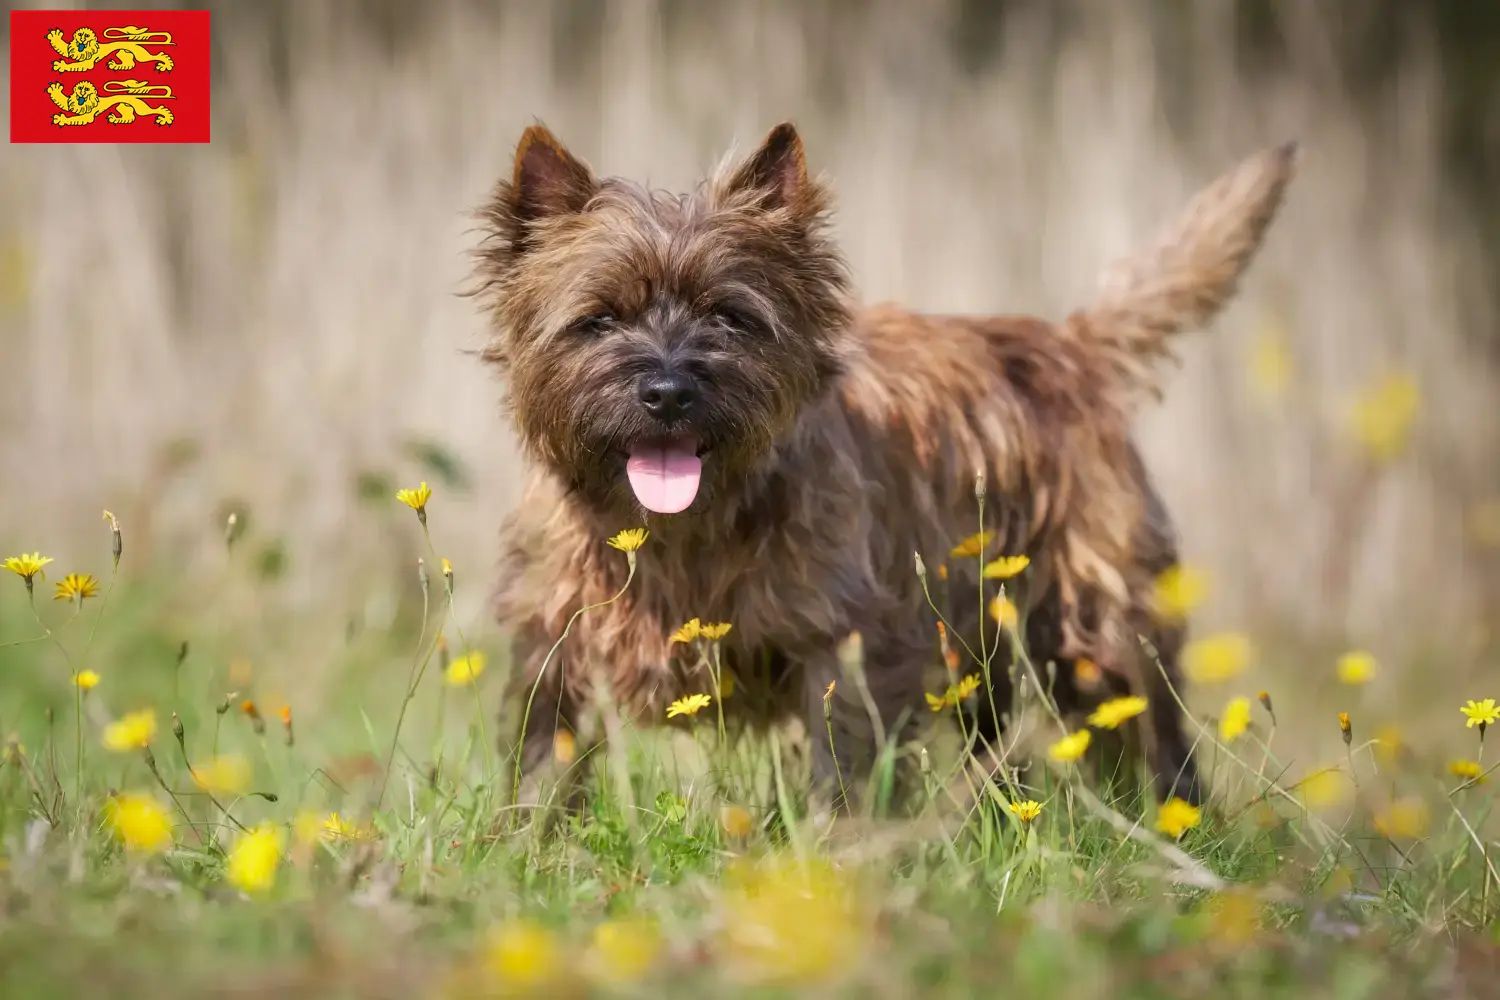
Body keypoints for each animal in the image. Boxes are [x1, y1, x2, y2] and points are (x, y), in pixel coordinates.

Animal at [474, 122, 1296, 815]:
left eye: (728, 317)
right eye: (600, 319)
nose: (669, 391)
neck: (679, 531)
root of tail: (1071, 344)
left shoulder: (846, 641)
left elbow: (841, 761)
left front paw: (831, 856)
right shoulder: (554, 634)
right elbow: (544, 754)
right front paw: (529, 841)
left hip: (1099, 621)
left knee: (1149, 729)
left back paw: (1172, 824)